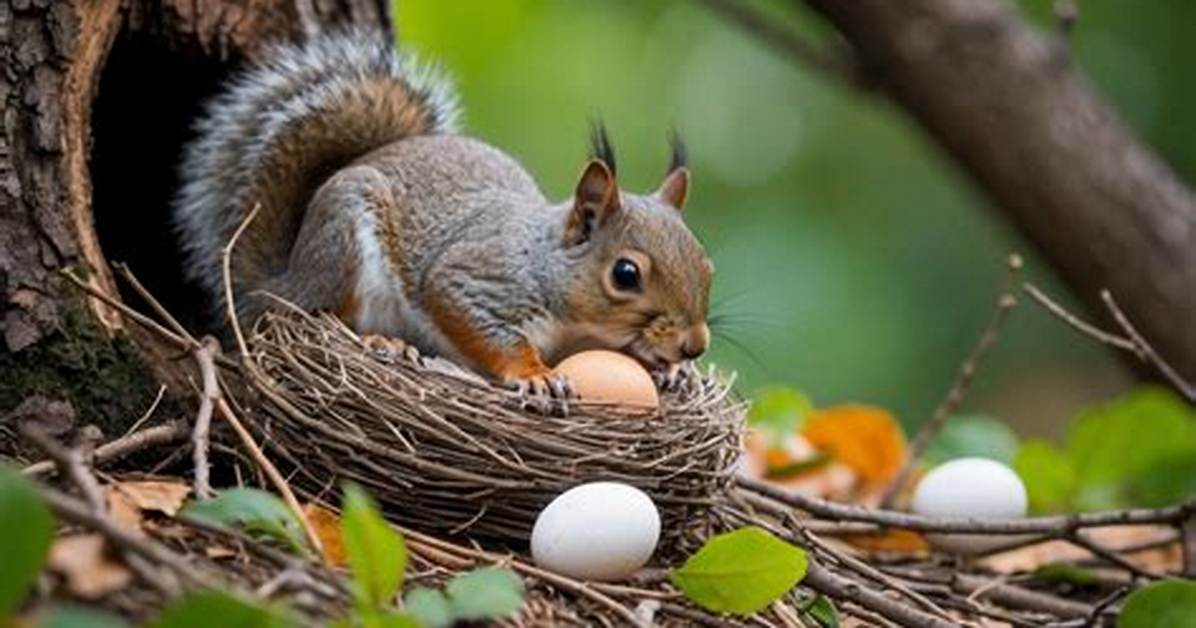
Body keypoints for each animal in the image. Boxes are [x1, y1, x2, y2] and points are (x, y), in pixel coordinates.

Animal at [173, 30, 712, 395]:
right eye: (625, 274)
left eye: (707, 268)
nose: (695, 346)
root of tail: (277, 282)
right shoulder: (476, 278)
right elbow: (471, 316)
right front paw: (534, 374)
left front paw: (670, 370)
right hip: (343, 248)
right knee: (324, 315)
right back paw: (382, 342)